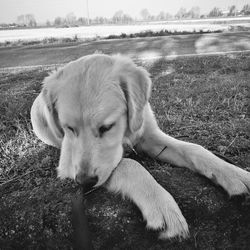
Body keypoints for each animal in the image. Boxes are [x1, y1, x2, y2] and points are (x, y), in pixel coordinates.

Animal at [30, 54, 250, 240]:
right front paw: (160, 203)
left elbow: (194, 148)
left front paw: (233, 172)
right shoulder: (67, 164)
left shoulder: (150, 136)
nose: (84, 182)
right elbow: (127, 163)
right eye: (68, 128)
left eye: (107, 127)